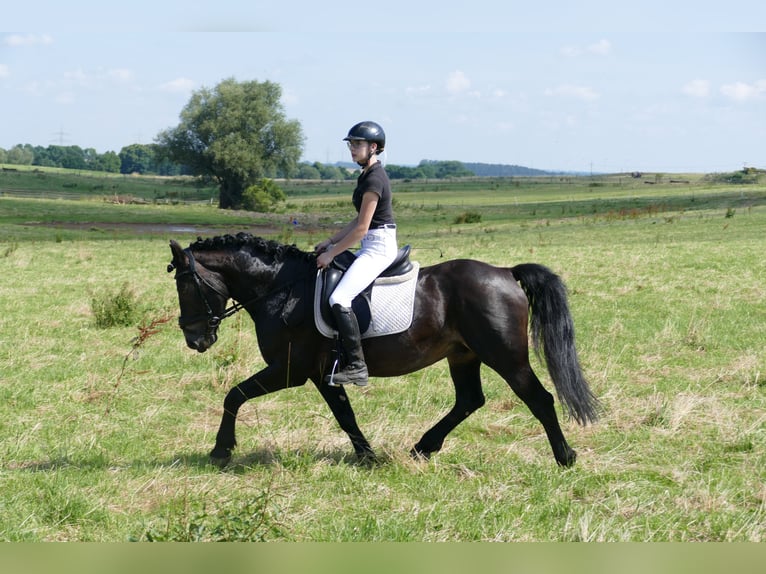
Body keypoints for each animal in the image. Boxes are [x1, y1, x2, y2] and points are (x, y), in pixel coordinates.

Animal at [170, 232, 600, 470]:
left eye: (186, 285)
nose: (195, 340)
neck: (282, 288)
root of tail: (504, 273)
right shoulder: (321, 373)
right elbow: (344, 414)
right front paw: (368, 456)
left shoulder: (289, 369)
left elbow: (234, 395)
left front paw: (221, 450)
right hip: (463, 355)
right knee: (469, 400)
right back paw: (423, 447)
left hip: (505, 356)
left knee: (539, 399)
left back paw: (565, 457)